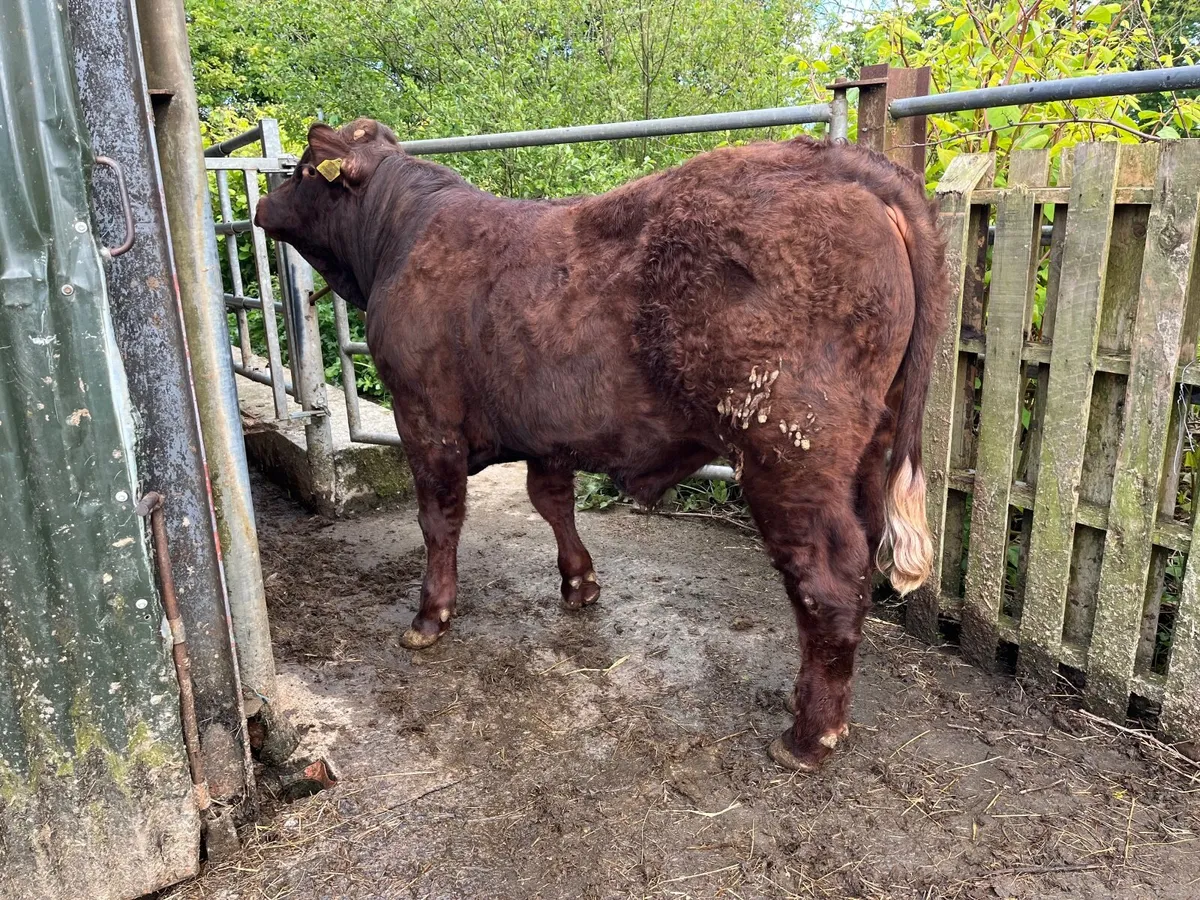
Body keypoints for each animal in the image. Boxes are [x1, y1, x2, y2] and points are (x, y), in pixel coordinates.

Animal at [254, 117, 949, 773]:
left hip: (786, 452)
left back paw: (808, 736)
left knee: (827, 577)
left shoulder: (425, 419)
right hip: (869, 448)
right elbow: (551, 500)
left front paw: (430, 617)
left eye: (302, 169)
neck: (396, 234)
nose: (262, 202)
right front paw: (579, 584)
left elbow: (439, 520)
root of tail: (841, 162)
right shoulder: (548, 431)